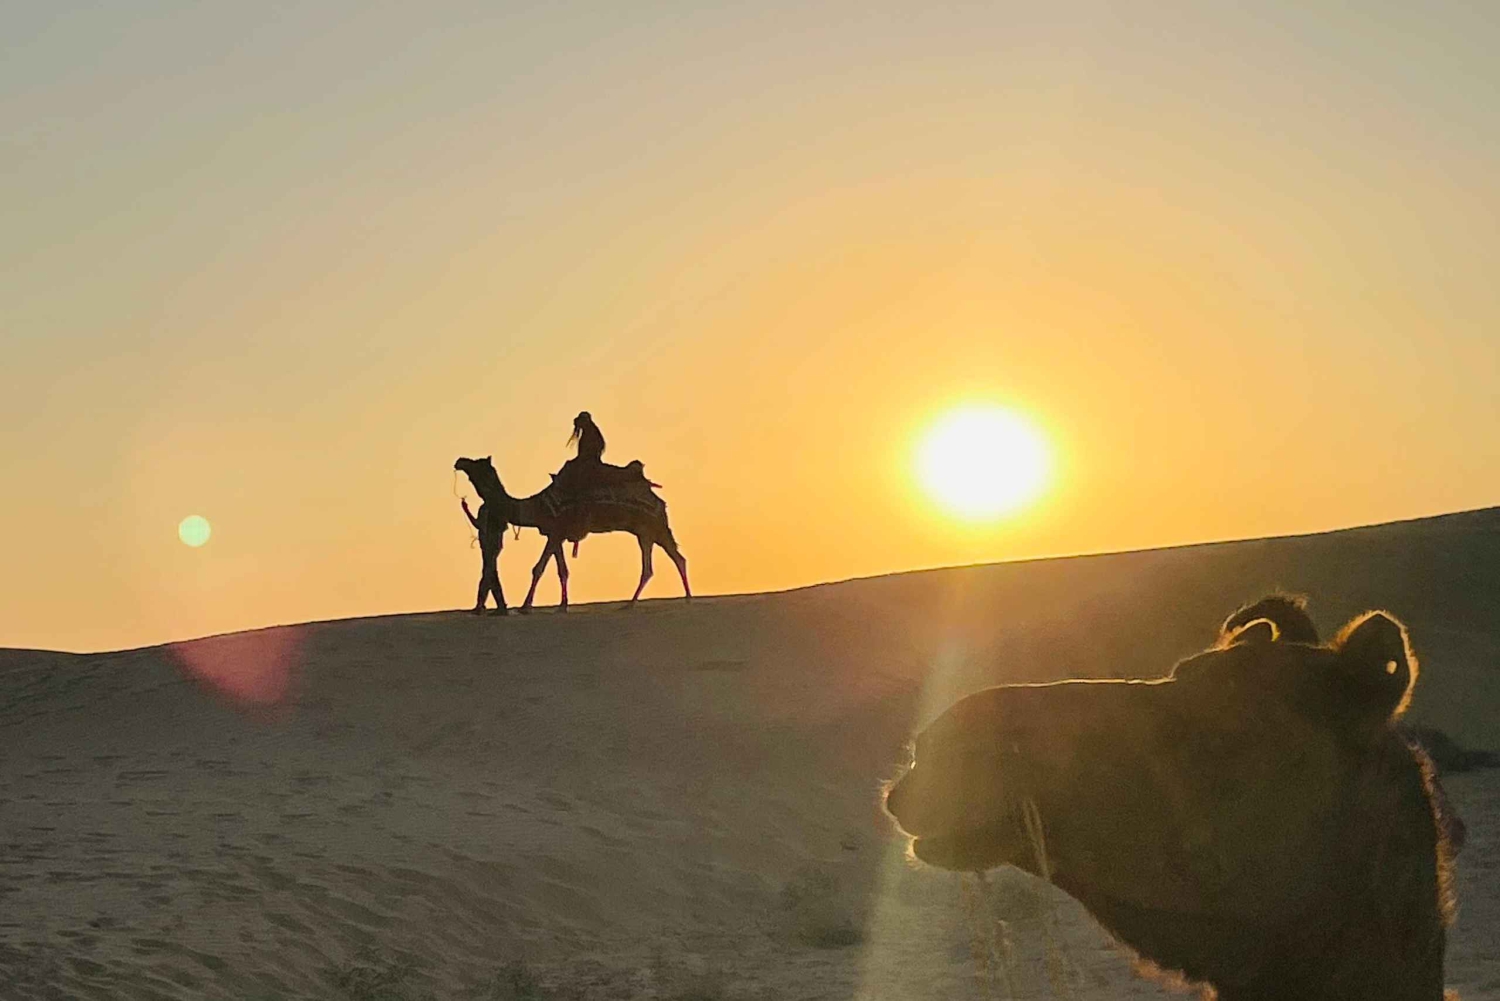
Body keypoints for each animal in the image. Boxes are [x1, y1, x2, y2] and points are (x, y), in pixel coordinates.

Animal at [454, 456, 690, 612]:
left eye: (476, 464)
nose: (459, 461)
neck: (536, 506)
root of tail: (658, 499)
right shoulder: (555, 534)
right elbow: (562, 570)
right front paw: (562, 604)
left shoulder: (556, 531)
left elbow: (538, 569)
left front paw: (525, 606)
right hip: (646, 532)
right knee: (665, 562)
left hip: (654, 526)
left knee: (670, 559)